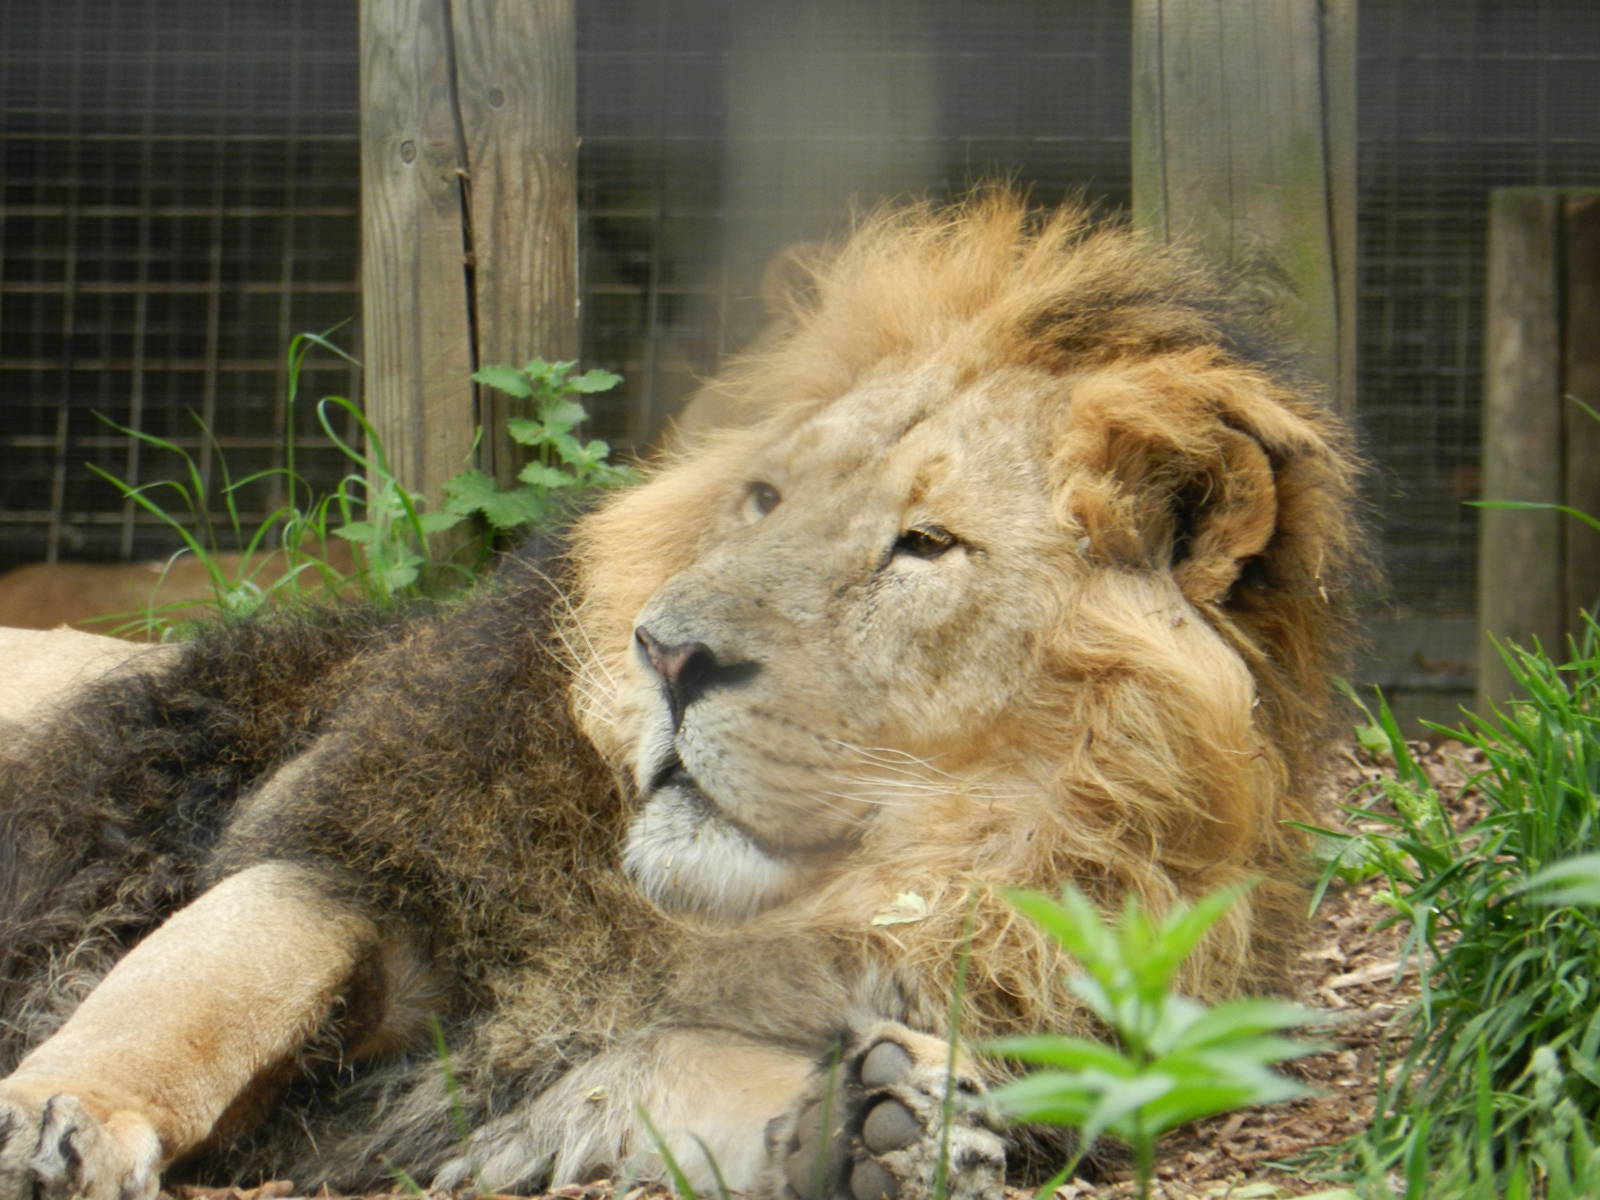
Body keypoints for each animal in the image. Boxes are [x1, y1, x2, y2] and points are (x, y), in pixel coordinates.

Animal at [0, 191, 1361, 1200]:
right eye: (763, 499)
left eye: (923, 545)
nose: (664, 653)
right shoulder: (346, 846)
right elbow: (193, 989)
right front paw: (55, 1120)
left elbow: (677, 1068)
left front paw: (879, 1120)